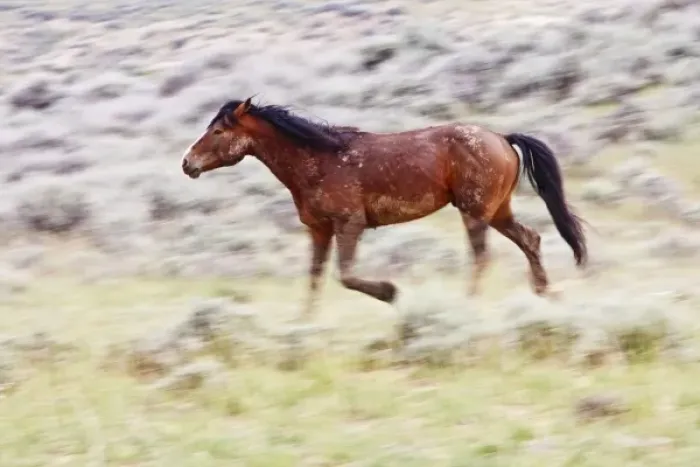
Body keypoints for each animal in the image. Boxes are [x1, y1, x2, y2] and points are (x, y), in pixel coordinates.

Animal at [181, 97, 587, 319]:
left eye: (218, 131)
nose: (187, 163)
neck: (318, 159)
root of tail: (502, 138)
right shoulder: (319, 229)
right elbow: (314, 278)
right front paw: (304, 322)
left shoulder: (349, 224)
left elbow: (345, 276)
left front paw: (391, 292)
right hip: (497, 210)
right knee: (530, 239)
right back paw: (545, 293)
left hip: (475, 213)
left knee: (482, 256)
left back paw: (470, 304)